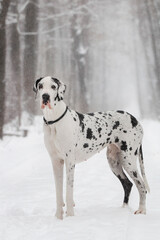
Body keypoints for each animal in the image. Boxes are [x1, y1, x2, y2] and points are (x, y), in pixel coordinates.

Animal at [32, 76, 150, 218]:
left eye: (53, 87)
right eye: (41, 86)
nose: (45, 96)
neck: (54, 121)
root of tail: (135, 119)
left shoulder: (69, 162)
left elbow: (68, 191)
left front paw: (70, 216)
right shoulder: (56, 162)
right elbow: (58, 192)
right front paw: (58, 217)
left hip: (129, 160)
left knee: (141, 185)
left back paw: (141, 210)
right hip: (114, 161)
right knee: (127, 184)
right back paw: (123, 208)